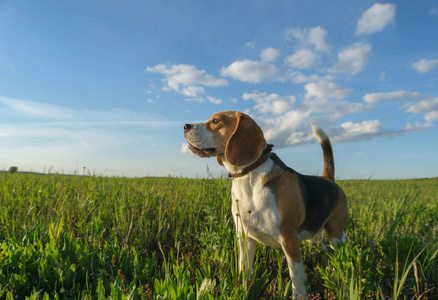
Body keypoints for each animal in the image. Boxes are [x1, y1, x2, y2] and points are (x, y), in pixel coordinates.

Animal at [183, 111, 348, 298]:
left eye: (216, 121)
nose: (185, 126)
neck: (248, 177)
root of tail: (328, 179)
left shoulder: (289, 239)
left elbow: (297, 277)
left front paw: (300, 296)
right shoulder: (245, 237)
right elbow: (244, 269)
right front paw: (242, 290)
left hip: (337, 234)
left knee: (339, 253)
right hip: (316, 236)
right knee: (327, 251)